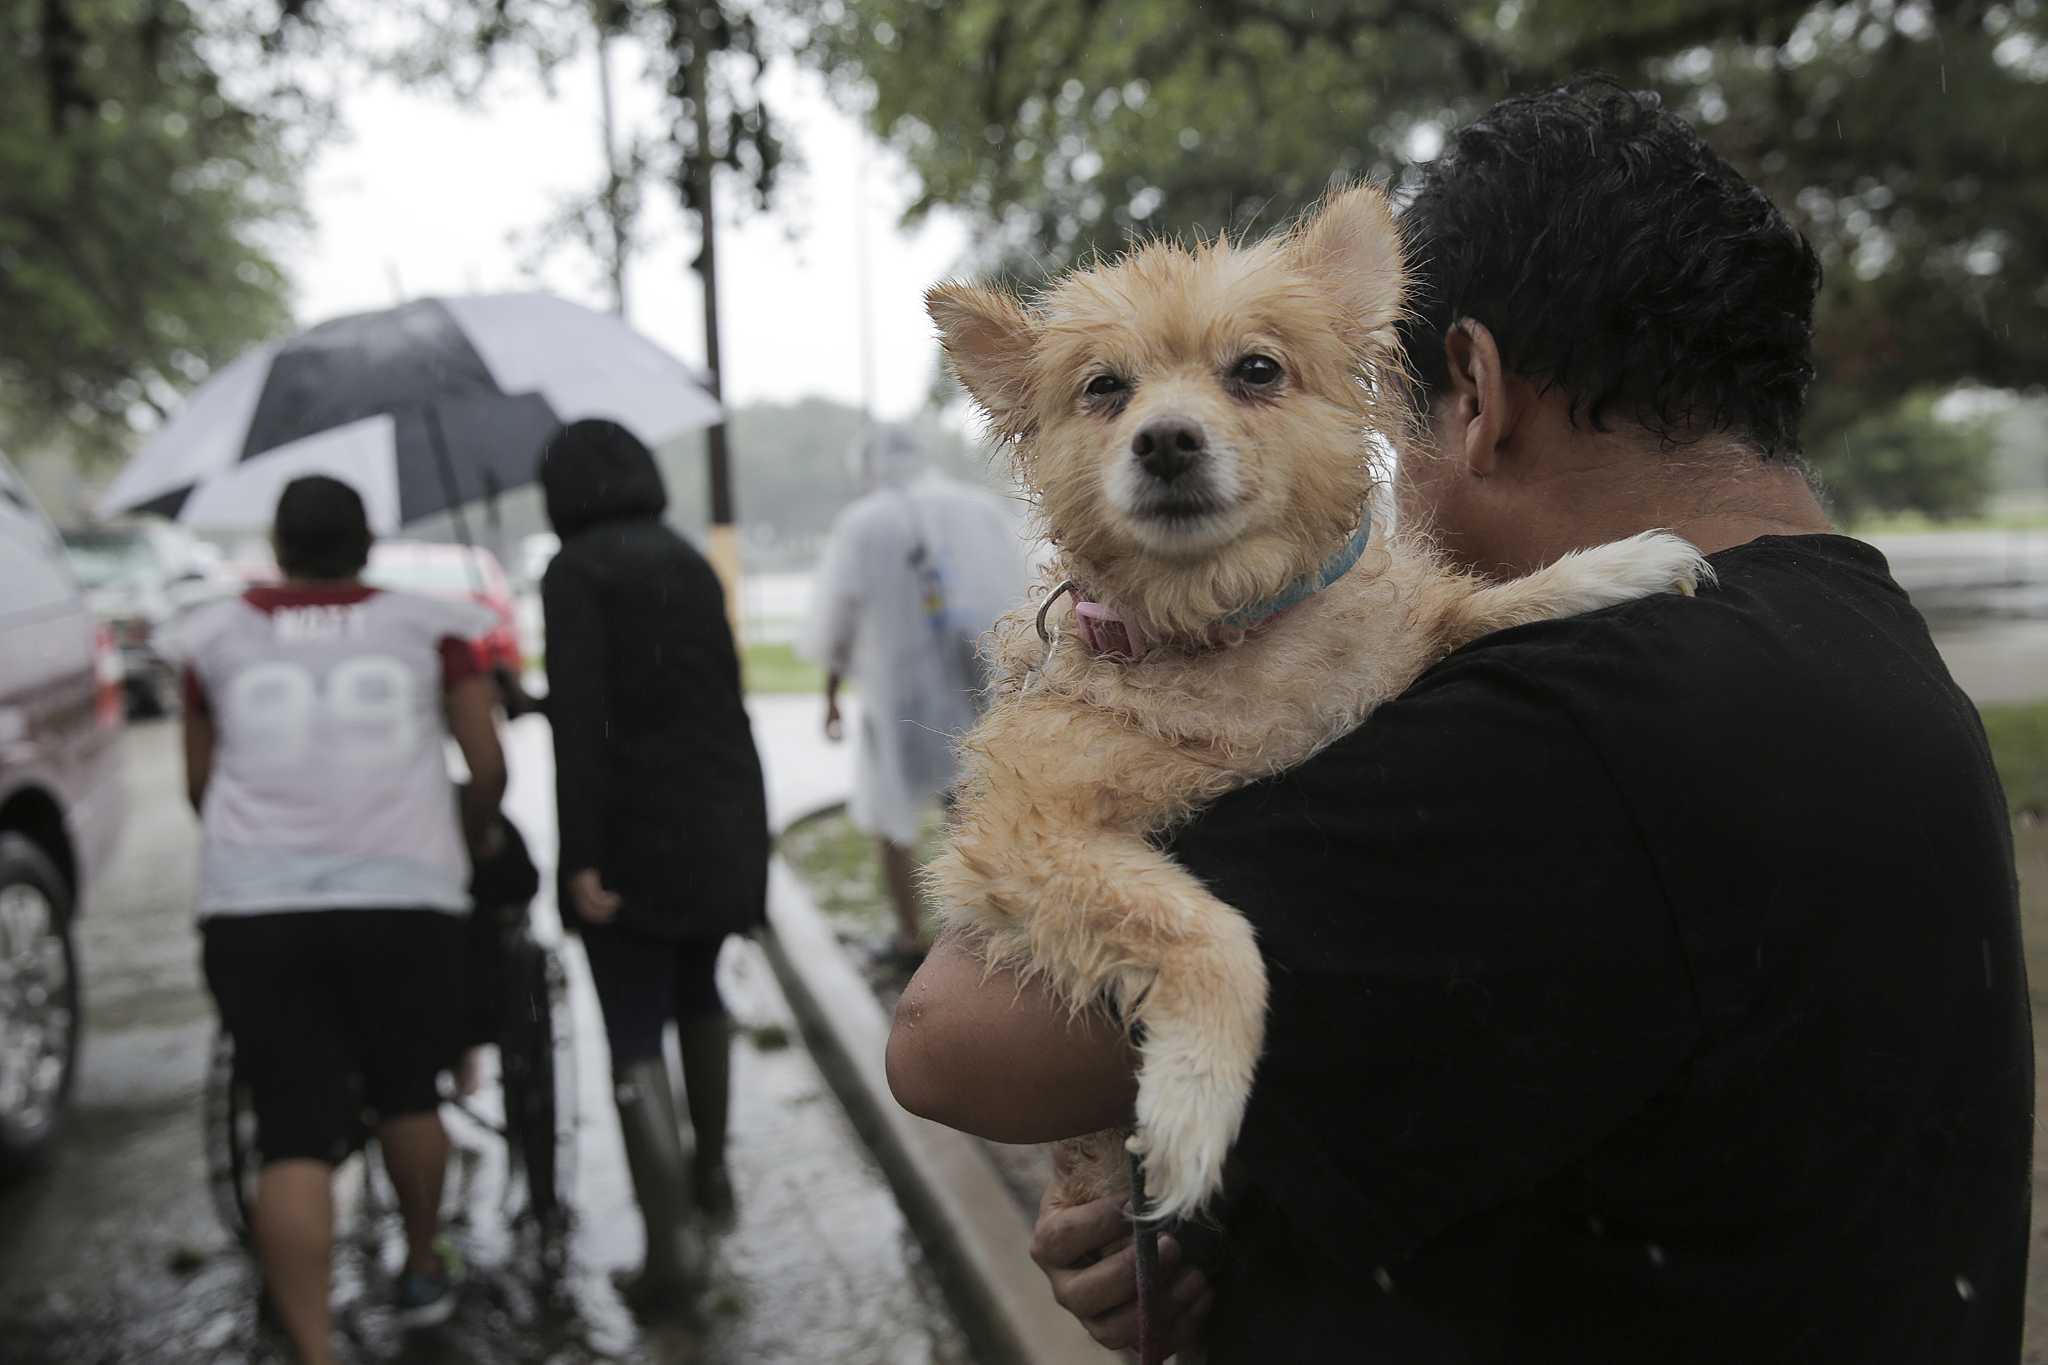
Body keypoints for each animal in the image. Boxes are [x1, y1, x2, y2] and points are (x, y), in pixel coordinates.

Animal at [921, 184, 1703, 1219]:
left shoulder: (1395, 647)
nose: (1165, 439)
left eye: (1256, 371)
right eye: (1105, 390)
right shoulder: (1025, 832)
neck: (1233, 628)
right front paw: (1195, 1095)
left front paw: (1610, 568)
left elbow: (1469, 607)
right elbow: (1209, 930)